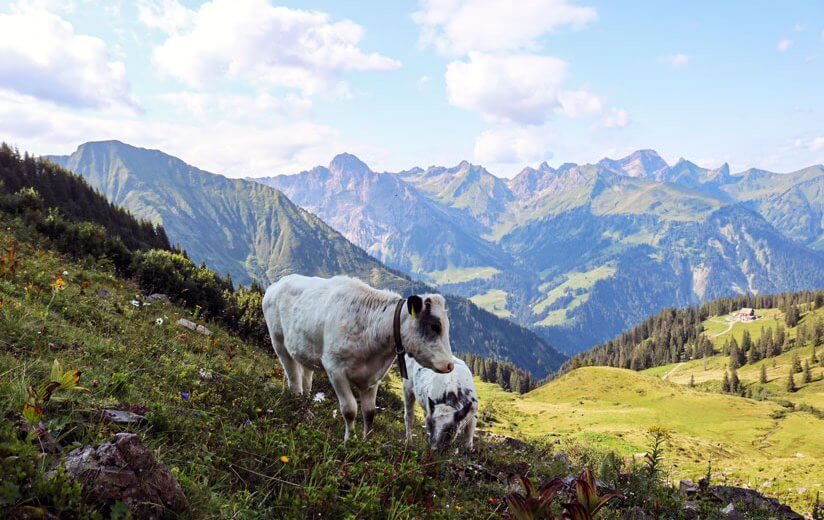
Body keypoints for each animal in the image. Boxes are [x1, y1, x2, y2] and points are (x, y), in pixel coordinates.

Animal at [262, 274, 454, 440]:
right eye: (435, 326)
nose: (450, 365)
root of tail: (279, 283)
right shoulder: (335, 370)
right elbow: (350, 409)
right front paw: (350, 441)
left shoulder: (373, 377)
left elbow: (369, 412)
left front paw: (366, 441)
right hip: (278, 342)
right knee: (293, 376)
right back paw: (296, 402)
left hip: (305, 349)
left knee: (306, 376)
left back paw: (306, 403)